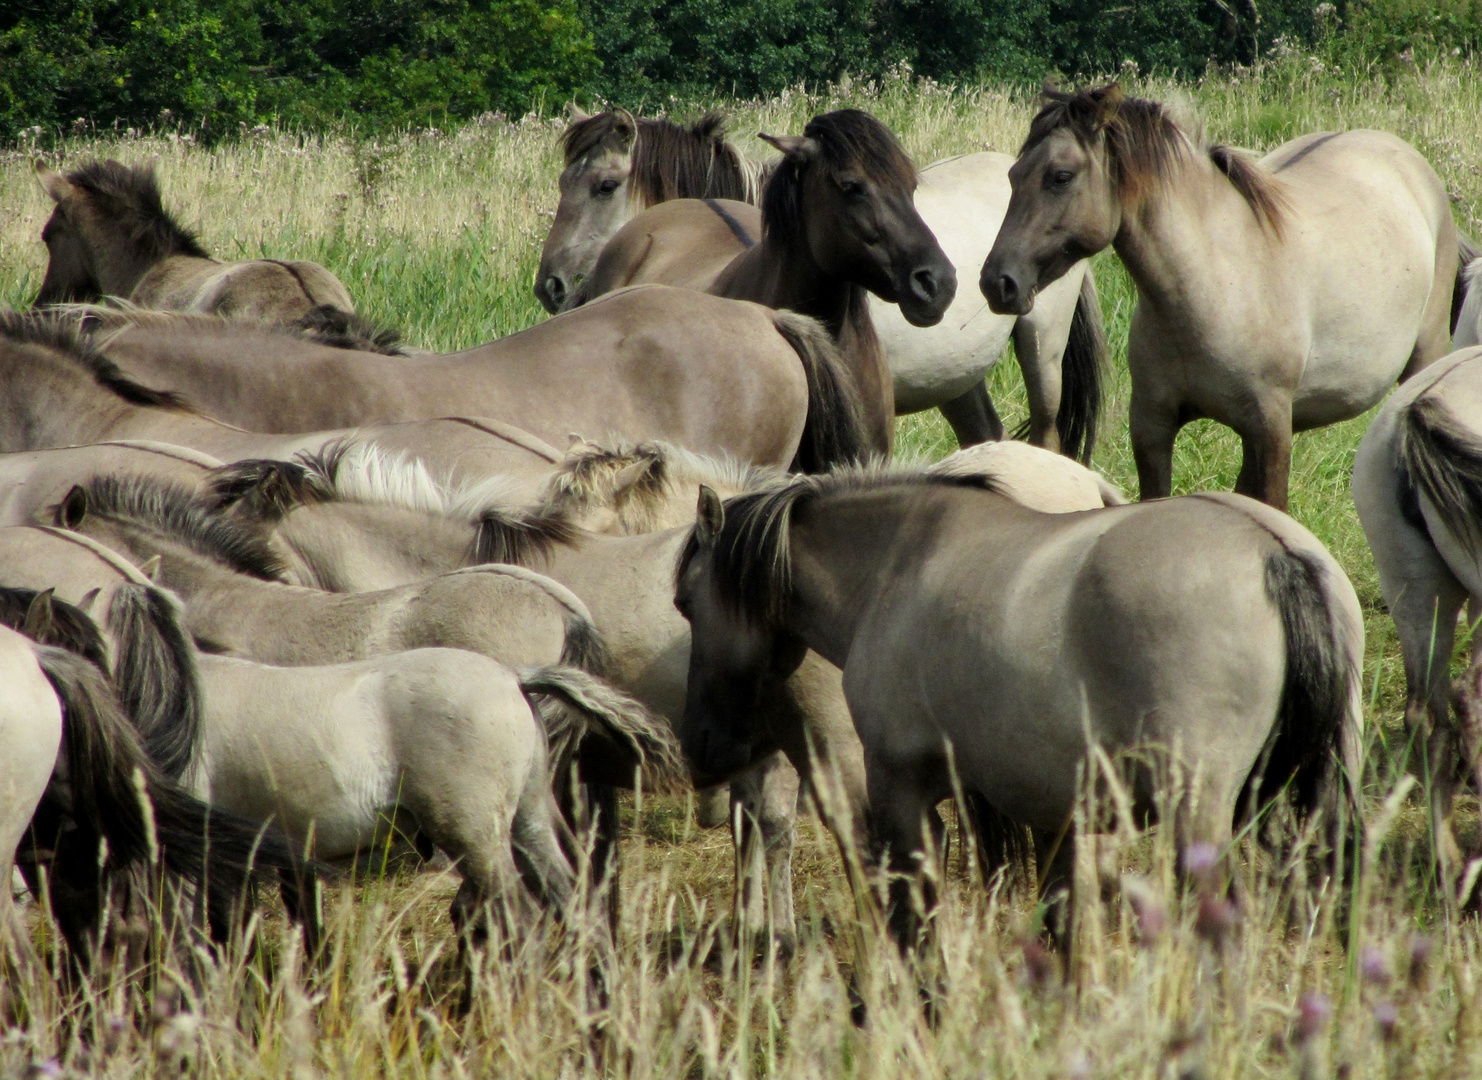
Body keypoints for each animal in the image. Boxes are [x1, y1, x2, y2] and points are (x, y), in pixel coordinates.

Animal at [678, 468, 1357, 948]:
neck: (895, 567)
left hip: (1197, 811)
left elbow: (915, 924)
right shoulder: (1059, 815)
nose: (701, 747)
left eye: (685, 601)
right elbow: (1065, 928)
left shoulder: (902, 789)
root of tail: (1274, 554)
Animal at [978, 84, 1464, 509]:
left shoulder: (1270, 428)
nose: (997, 282)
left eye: (1060, 177)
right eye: (1013, 175)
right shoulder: (1152, 424)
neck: (1211, 286)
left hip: (1422, 356)